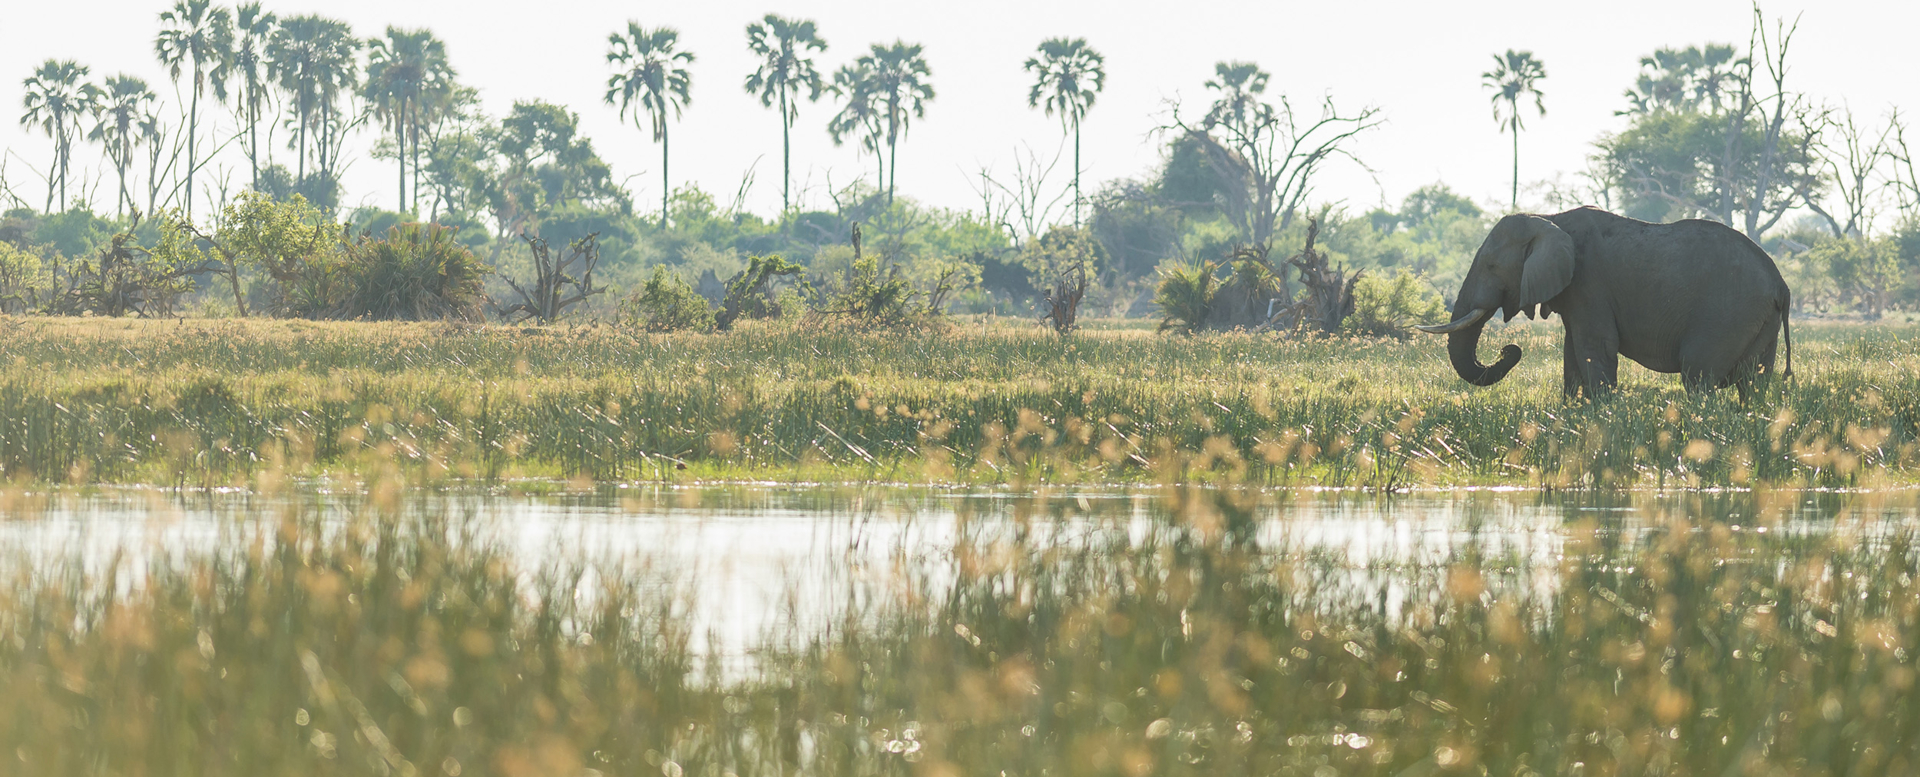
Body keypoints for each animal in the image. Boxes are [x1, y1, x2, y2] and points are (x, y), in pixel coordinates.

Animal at [1418, 206, 1792, 400]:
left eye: (1492, 267)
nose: (1509, 350)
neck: (1549, 218)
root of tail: (1781, 284)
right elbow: (1573, 352)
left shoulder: (1589, 283)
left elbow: (1594, 347)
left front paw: (1601, 416)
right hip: (1760, 320)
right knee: (1753, 380)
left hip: (1728, 315)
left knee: (1698, 374)